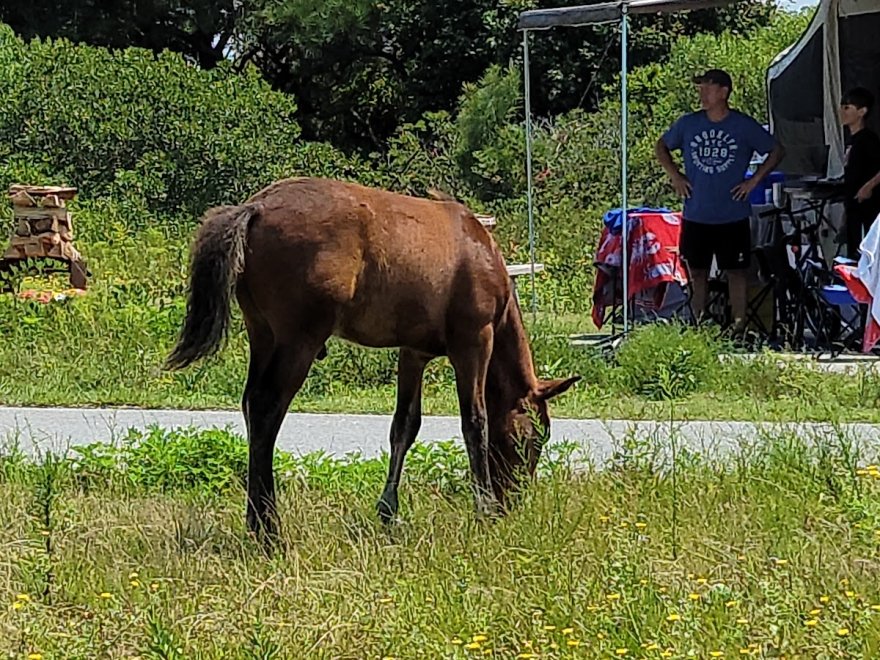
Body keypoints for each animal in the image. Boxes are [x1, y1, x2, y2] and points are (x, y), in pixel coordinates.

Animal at [165, 178, 576, 540]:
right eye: (533, 439)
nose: (513, 500)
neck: (482, 253)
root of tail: (255, 208)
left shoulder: (414, 352)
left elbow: (405, 426)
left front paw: (389, 511)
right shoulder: (474, 341)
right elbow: (475, 422)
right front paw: (484, 509)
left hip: (263, 334)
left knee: (251, 404)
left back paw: (257, 522)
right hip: (298, 339)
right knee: (267, 409)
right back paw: (270, 530)